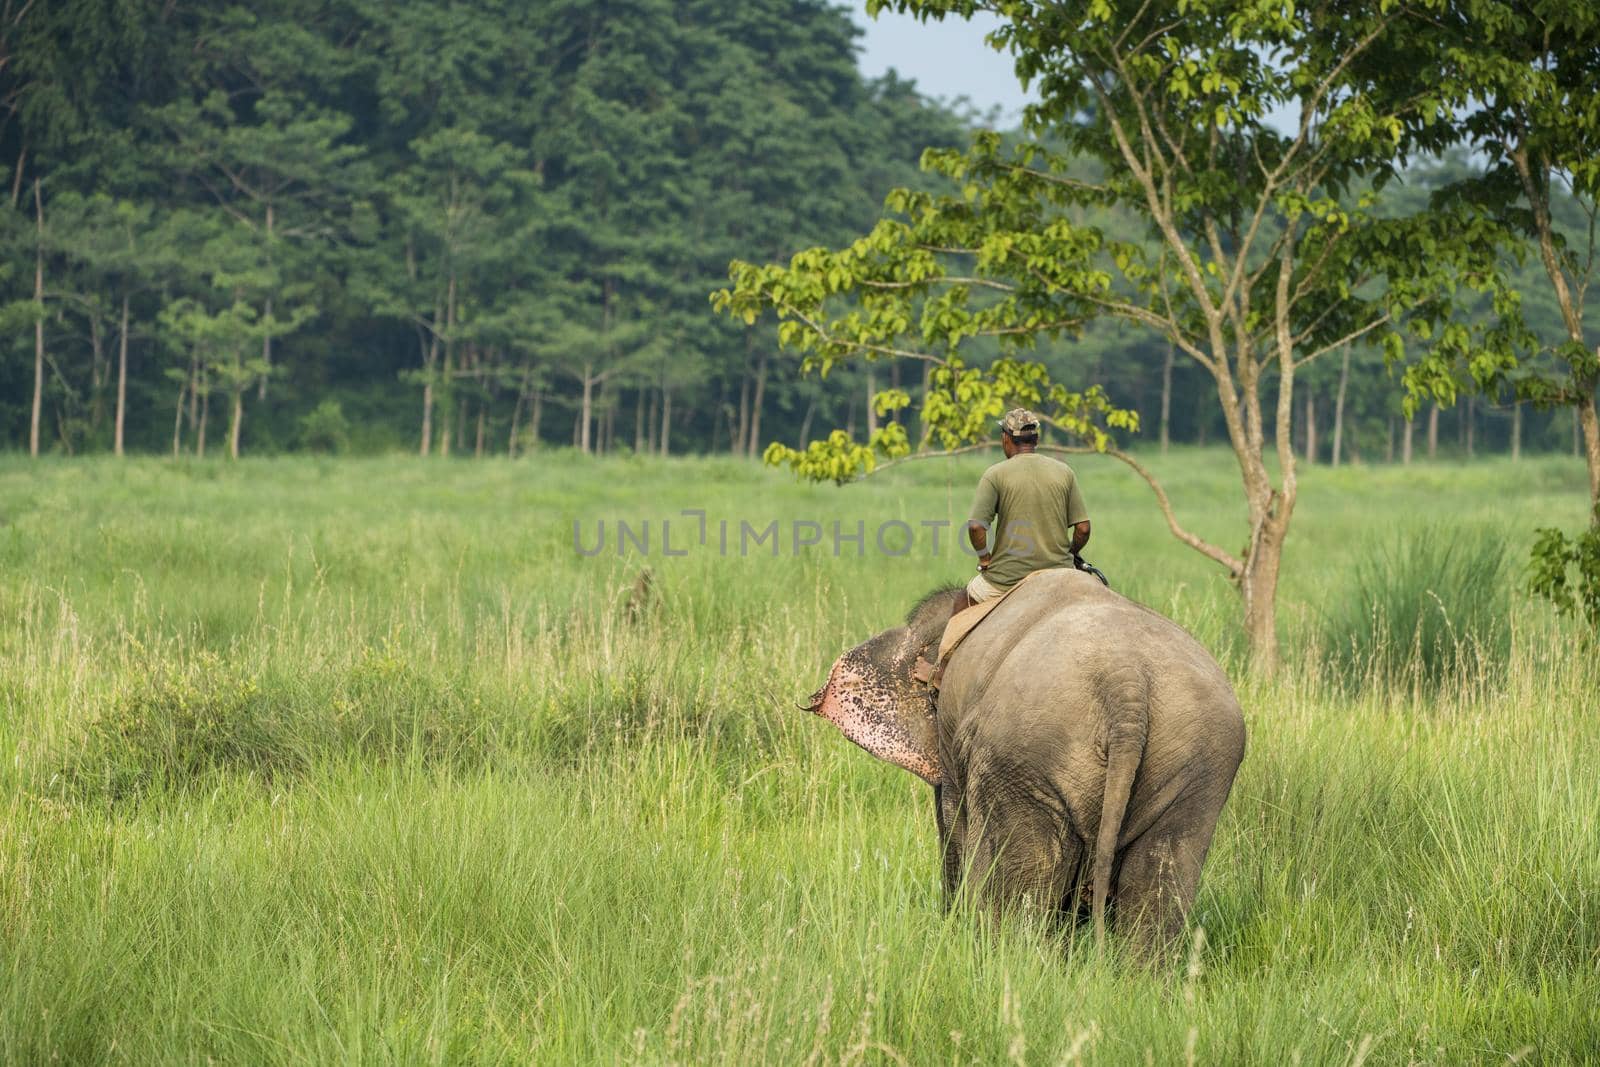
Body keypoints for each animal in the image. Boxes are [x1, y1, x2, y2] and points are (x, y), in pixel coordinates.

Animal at [806, 566, 1241, 953]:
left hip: (1020, 758)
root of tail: (1127, 681)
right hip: (1199, 763)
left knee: (1019, 878)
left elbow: (953, 822)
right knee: (1161, 876)